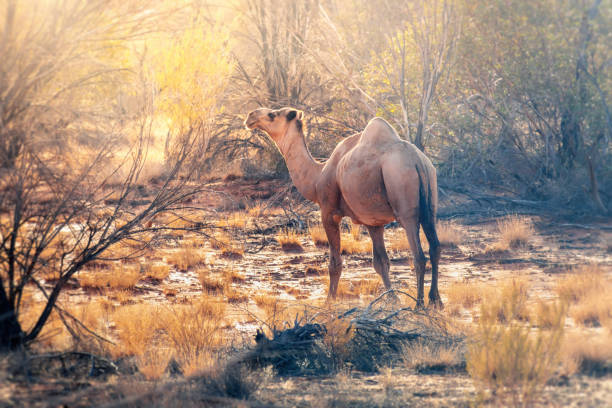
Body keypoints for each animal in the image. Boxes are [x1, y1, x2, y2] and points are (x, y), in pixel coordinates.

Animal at [246, 107, 442, 308]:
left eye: (273, 115)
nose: (251, 116)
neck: (317, 177)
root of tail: (417, 161)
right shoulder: (373, 221)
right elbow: (381, 263)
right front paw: (392, 299)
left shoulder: (328, 212)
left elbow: (335, 264)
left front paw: (329, 301)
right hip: (430, 204)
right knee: (435, 247)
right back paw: (435, 300)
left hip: (404, 201)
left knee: (419, 255)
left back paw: (419, 304)